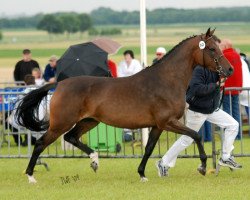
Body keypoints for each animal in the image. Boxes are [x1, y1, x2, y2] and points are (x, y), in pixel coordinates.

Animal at [16, 27, 233, 183]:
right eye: (212, 49)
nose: (229, 70)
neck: (166, 80)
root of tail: (59, 83)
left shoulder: (157, 126)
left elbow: (149, 148)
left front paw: (142, 174)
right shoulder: (168, 122)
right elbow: (196, 135)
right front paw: (202, 167)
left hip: (89, 121)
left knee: (71, 137)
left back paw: (95, 161)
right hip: (61, 123)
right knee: (40, 143)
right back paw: (31, 176)